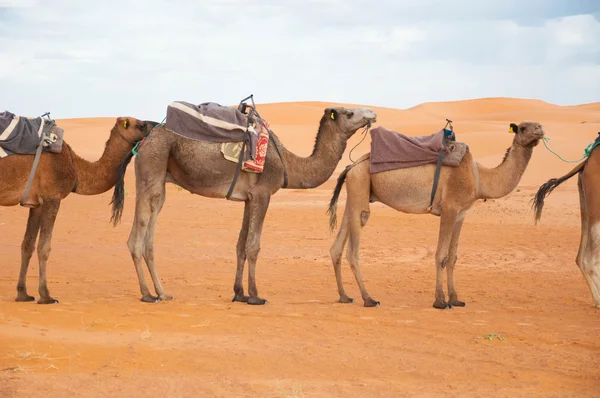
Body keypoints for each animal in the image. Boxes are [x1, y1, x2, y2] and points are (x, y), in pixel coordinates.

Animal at [0, 116, 155, 304]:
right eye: (140, 124)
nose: (157, 124)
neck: (75, 165)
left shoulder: (36, 203)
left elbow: (27, 246)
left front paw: (23, 294)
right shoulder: (52, 197)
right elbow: (44, 247)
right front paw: (46, 296)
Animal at [110, 104, 378, 304]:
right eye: (349, 113)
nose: (372, 113)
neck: (287, 163)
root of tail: (143, 141)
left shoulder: (249, 198)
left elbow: (240, 244)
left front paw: (239, 293)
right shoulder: (263, 193)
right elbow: (254, 246)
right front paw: (256, 295)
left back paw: (157, 292)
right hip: (153, 168)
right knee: (139, 237)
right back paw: (151, 293)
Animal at [326, 123, 548, 310]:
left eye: (535, 125)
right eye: (523, 128)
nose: (540, 129)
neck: (479, 177)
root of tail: (350, 167)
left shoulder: (461, 213)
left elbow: (453, 257)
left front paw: (456, 299)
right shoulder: (449, 208)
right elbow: (441, 255)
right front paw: (440, 301)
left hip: (355, 193)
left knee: (337, 246)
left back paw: (344, 296)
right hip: (360, 187)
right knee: (353, 250)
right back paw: (368, 298)